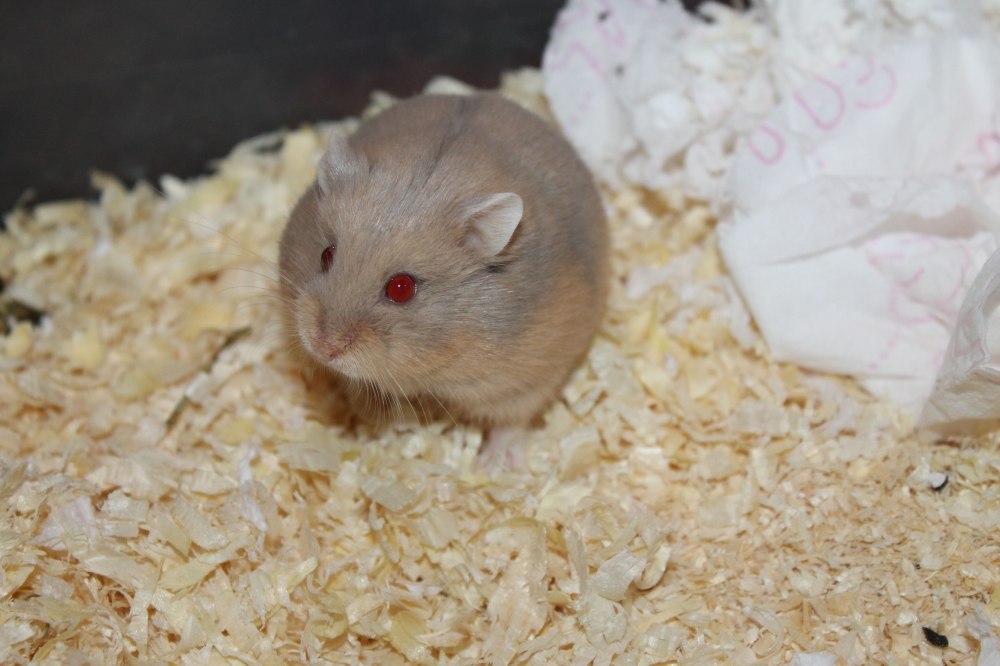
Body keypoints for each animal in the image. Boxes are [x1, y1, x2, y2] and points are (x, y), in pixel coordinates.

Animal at [278, 92, 609, 445]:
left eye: (401, 288)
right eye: (326, 255)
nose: (323, 347)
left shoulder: (525, 379)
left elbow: (512, 421)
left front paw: (494, 458)